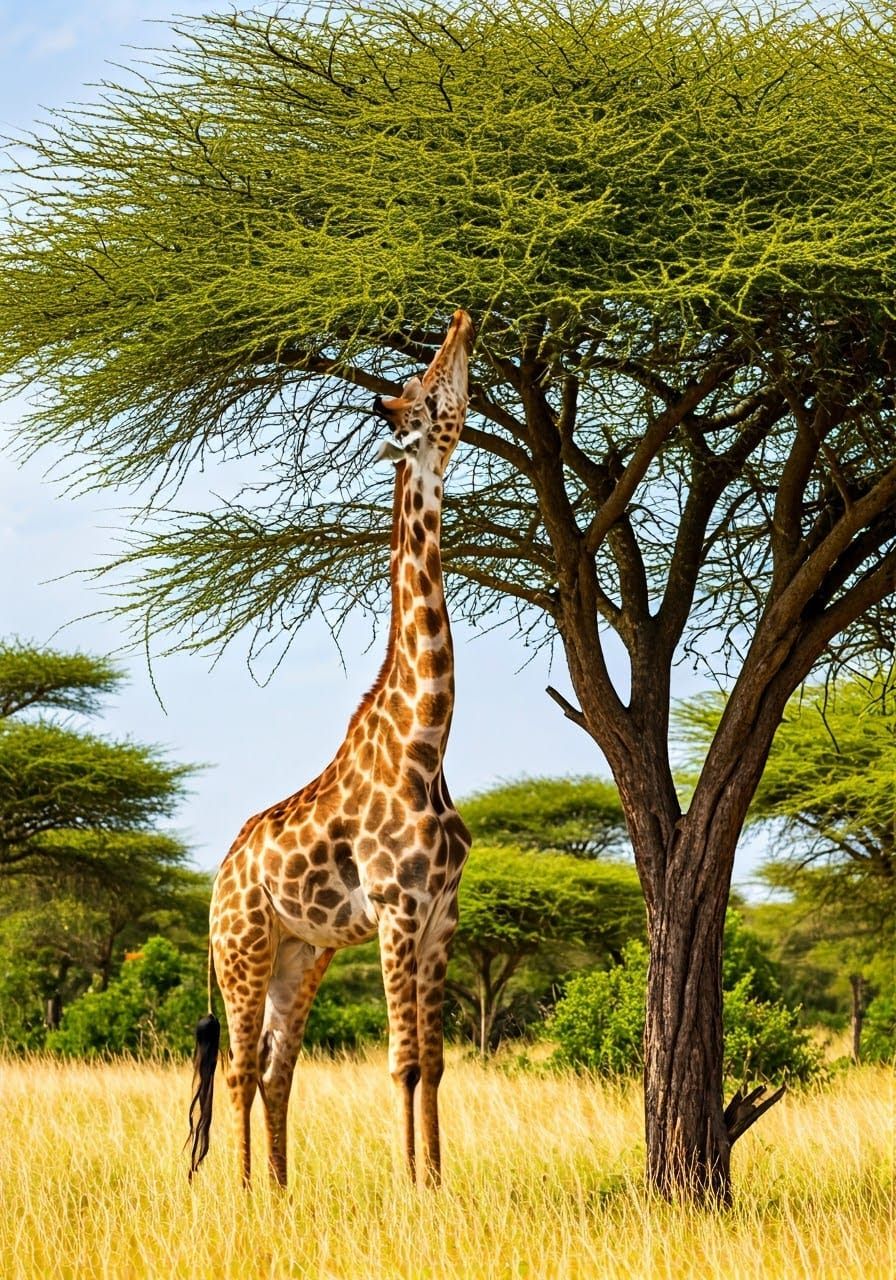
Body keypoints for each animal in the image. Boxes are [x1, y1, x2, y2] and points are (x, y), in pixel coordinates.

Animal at [188, 309, 474, 1190]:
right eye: (428, 394)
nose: (460, 322)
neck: (425, 743)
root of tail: (217, 880)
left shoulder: (443, 914)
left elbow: (435, 1063)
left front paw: (439, 1185)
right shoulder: (396, 906)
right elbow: (402, 1063)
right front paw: (412, 1192)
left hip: (299, 955)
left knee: (278, 1068)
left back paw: (282, 1193)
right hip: (243, 948)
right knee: (241, 1067)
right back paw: (246, 1192)